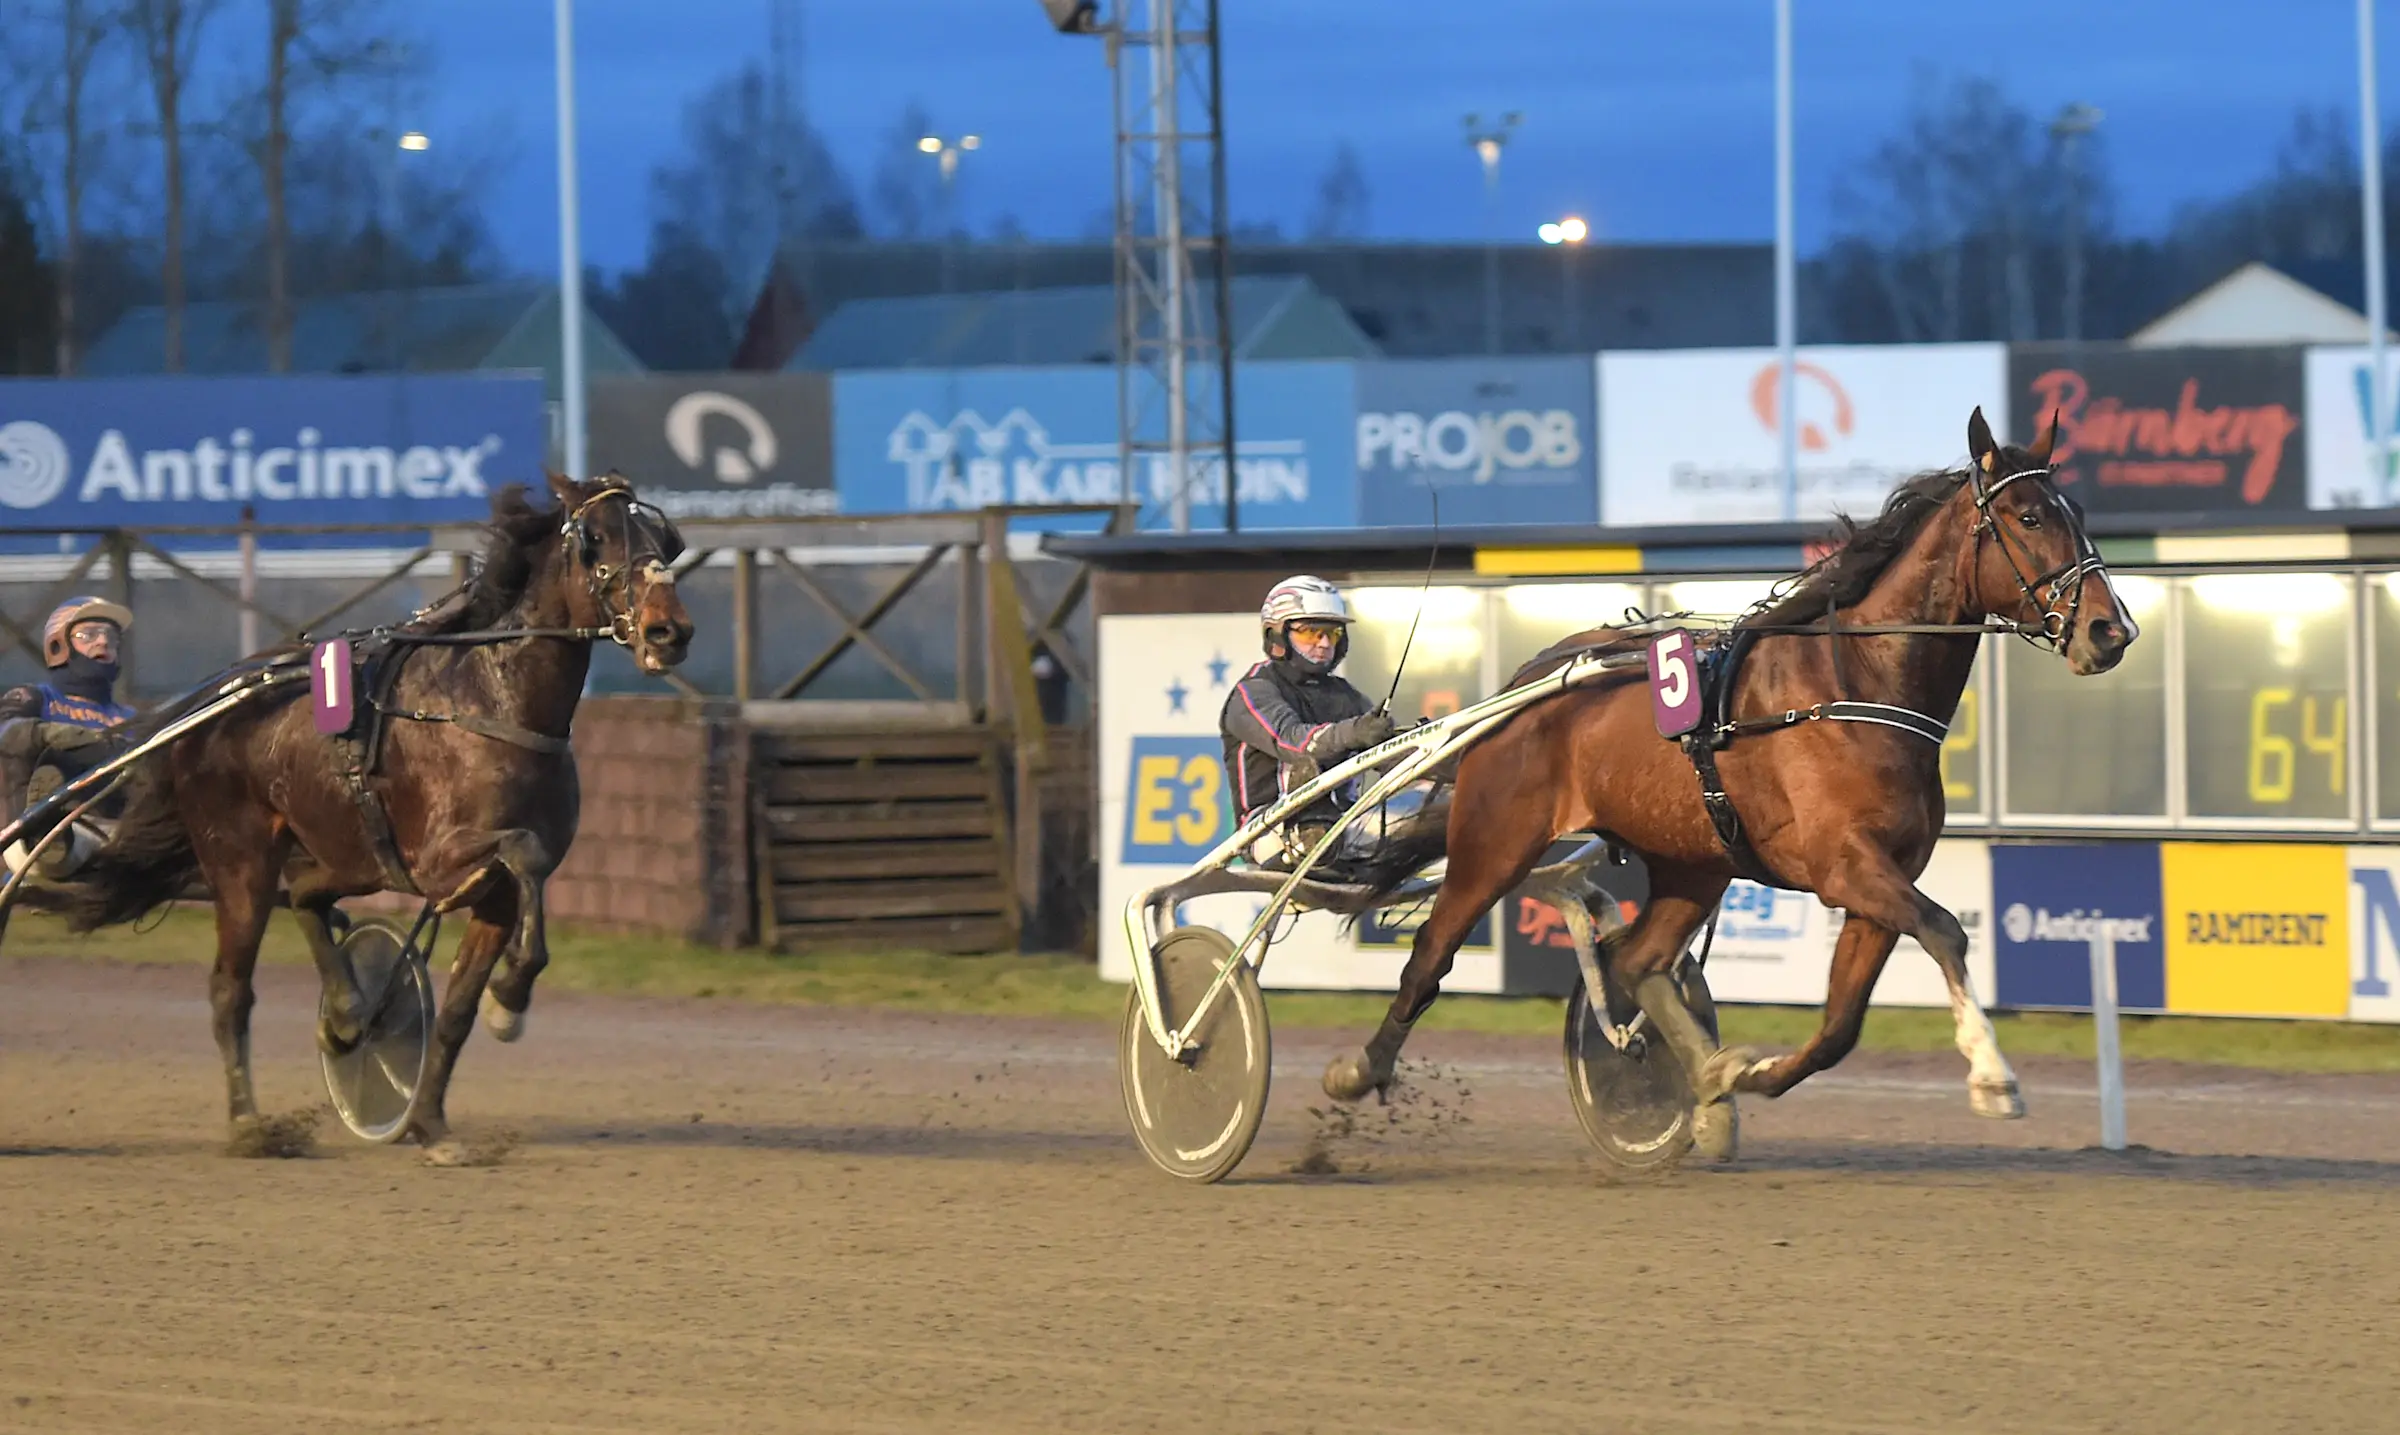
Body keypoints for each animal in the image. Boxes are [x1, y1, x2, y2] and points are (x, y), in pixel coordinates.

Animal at [54, 475, 696, 1171]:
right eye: (596, 538)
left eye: (666, 541)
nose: (669, 631)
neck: (493, 701)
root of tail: (206, 712)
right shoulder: (438, 860)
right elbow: (521, 852)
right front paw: (509, 1003)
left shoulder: (494, 895)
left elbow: (460, 1008)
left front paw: (435, 1122)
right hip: (240, 862)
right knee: (231, 989)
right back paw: (251, 1125)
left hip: (350, 854)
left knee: (307, 897)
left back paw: (346, 1015)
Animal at [1334, 410, 2140, 1142]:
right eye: (2029, 515)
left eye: (2078, 515)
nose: (2113, 630)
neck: (1855, 685)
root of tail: (1531, 677)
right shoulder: (1842, 865)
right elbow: (1946, 930)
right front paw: (1992, 1076)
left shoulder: (1881, 882)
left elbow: (1840, 1026)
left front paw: (1737, 1074)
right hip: (1495, 843)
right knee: (1431, 956)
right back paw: (1357, 1069)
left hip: (1694, 862)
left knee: (1637, 961)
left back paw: (1699, 1076)